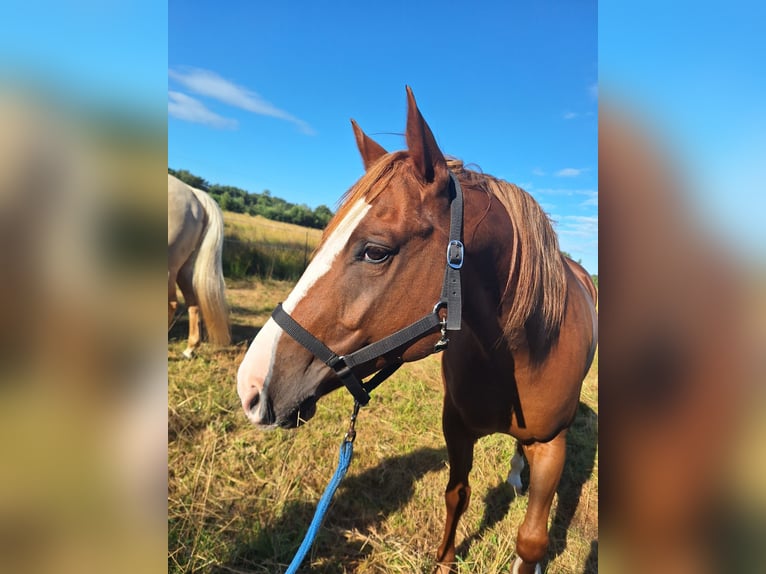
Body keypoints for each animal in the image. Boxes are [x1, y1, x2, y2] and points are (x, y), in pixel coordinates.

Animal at [237, 87, 597, 574]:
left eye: (375, 251)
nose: (250, 386)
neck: (519, 354)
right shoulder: (456, 428)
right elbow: (457, 495)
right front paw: (445, 562)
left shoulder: (552, 445)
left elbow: (532, 541)